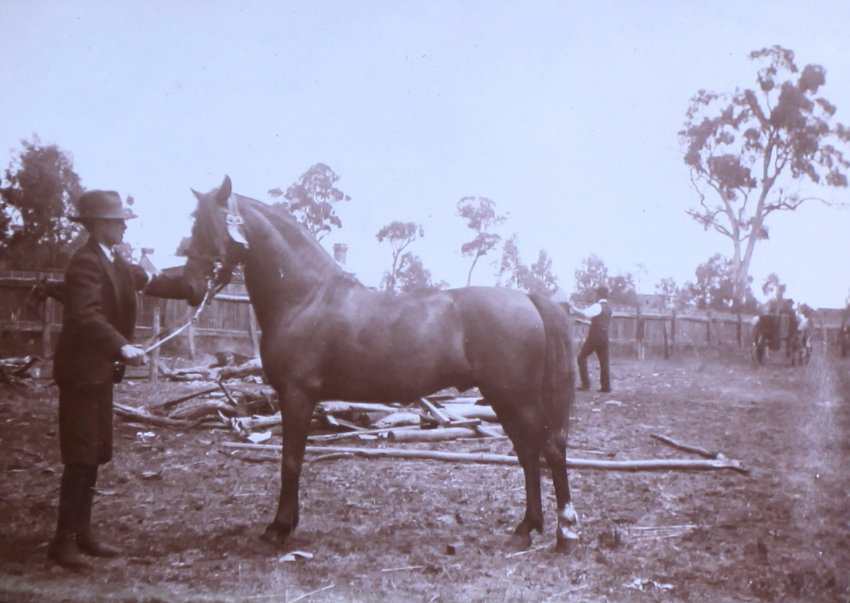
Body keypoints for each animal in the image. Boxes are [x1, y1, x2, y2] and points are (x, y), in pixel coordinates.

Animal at [182, 175, 579, 551]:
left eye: (208, 228)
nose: (189, 287)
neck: (306, 296)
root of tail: (527, 299)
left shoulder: (296, 396)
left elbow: (291, 461)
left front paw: (278, 529)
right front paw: (287, 524)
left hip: (516, 397)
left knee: (550, 448)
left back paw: (565, 532)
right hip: (504, 399)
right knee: (528, 453)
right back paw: (525, 529)